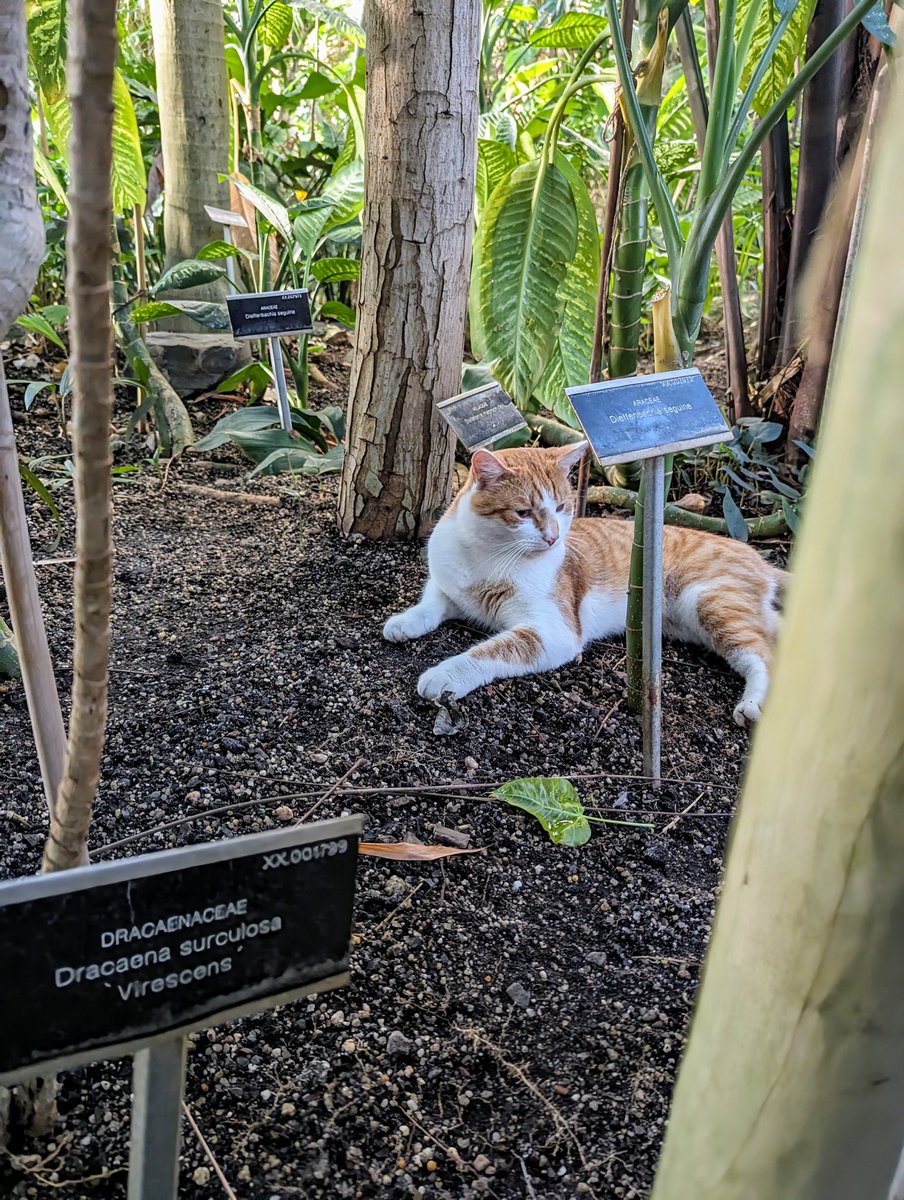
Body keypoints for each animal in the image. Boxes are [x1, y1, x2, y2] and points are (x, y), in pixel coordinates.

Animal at [381, 441, 782, 720]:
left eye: (562, 507)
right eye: (523, 513)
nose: (553, 537)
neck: (489, 555)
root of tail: (756, 556)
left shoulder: (553, 632)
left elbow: (492, 650)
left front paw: (446, 674)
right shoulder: (448, 584)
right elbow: (431, 602)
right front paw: (404, 622)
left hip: (711, 603)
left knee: (762, 656)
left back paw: (750, 705)